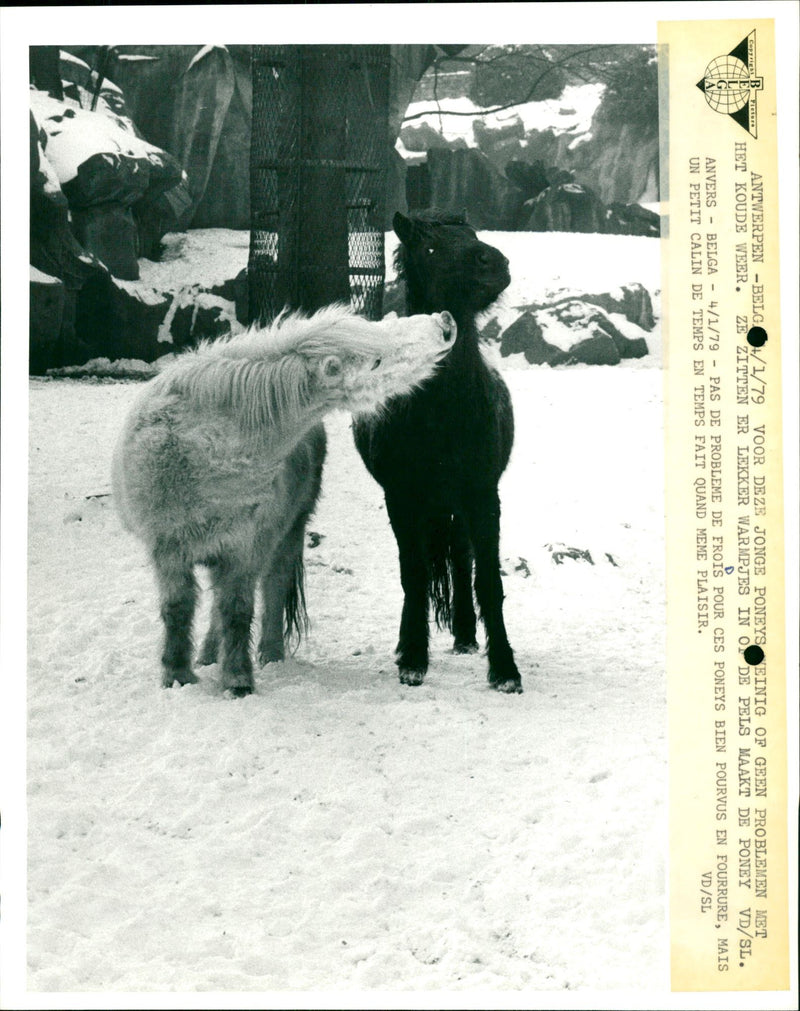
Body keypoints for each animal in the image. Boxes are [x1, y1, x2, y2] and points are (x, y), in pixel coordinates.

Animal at [112, 303, 456, 696]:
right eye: (376, 361)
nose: (445, 322)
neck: (206, 452)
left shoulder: (244, 547)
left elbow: (237, 609)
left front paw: (238, 680)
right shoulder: (168, 549)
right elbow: (178, 608)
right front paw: (177, 676)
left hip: (288, 530)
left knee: (271, 586)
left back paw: (270, 655)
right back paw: (208, 656)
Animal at [353, 210, 522, 693]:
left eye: (471, 234)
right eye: (429, 248)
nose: (494, 262)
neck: (443, 410)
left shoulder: (483, 496)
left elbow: (488, 582)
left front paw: (505, 669)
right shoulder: (402, 498)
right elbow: (413, 577)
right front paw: (412, 658)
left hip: (456, 506)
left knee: (461, 561)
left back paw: (465, 636)